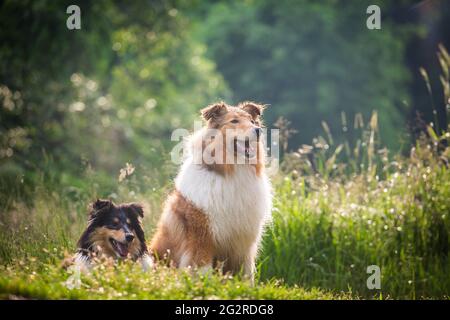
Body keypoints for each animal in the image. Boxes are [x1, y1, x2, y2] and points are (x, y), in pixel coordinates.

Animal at [150, 100, 270, 280]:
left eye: (251, 121)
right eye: (234, 121)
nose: (258, 130)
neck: (231, 172)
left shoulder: (244, 240)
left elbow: (246, 271)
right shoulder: (202, 237)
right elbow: (202, 269)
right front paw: (203, 283)